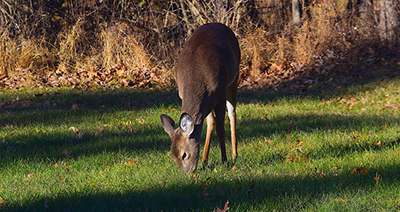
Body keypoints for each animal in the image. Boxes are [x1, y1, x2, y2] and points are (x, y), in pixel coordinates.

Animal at [160, 23, 241, 173]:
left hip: (234, 77)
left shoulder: (220, 93)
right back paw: (204, 159)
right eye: (173, 156)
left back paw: (234, 154)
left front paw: (225, 160)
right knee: (211, 122)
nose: (186, 174)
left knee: (232, 113)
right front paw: (204, 161)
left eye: (184, 154)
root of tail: (220, 24)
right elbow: (210, 124)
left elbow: (221, 130)